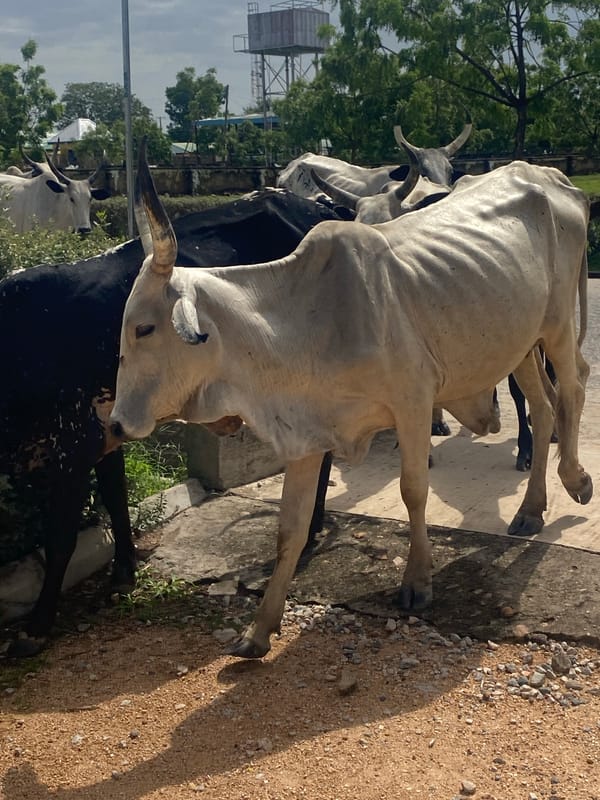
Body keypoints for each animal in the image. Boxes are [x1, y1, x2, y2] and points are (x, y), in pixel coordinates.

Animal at [0, 189, 346, 657]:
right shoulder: (105, 431)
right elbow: (116, 499)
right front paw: (123, 573)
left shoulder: (71, 448)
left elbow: (60, 540)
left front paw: (36, 626)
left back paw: (311, 529)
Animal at [110, 148, 592, 660]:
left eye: (144, 328)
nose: (116, 424)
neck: (308, 322)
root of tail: (550, 175)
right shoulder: (306, 434)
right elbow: (290, 528)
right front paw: (259, 629)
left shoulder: (413, 404)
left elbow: (412, 491)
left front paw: (417, 581)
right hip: (519, 342)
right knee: (543, 408)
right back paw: (530, 509)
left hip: (557, 324)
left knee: (574, 388)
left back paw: (576, 480)